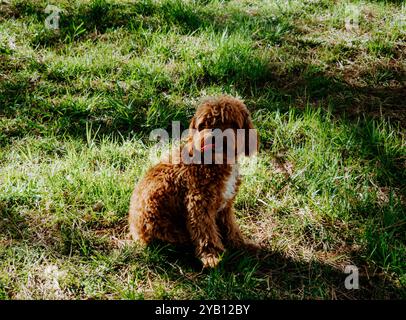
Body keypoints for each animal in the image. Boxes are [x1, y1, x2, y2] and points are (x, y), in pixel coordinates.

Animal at [128, 95, 258, 268]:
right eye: (204, 124)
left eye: (230, 122)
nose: (213, 137)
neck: (216, 161)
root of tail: (134, 230)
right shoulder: (198, 204)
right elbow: (205, 232)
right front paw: (212, 256)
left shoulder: (225, 205)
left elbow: (230, 226)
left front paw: (239, 244)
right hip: (166, 227)